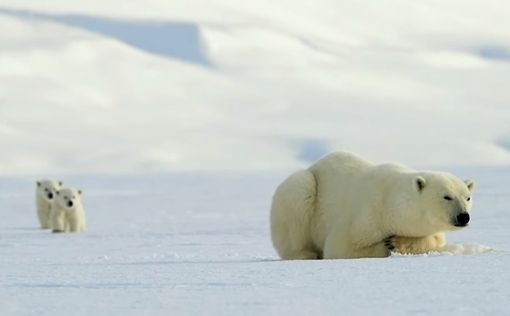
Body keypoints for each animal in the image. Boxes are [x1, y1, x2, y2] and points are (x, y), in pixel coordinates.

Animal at [270, 151, 474, 260]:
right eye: (447, 197)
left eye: (467, 197)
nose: (463, 216)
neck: (392, 201)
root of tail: (313, 165)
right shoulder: (367, 214)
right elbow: (341, 247)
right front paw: (387, 245)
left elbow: (435, 240)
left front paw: (399, 242)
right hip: (304, 190)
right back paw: (305, 254)